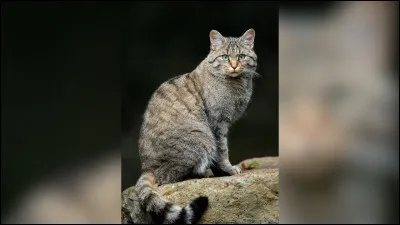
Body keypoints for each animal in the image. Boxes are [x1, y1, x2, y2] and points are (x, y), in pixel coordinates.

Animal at [135, 29, 260, 224]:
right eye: (225, 57)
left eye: (241, 56)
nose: (233, 66)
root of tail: (147, 168)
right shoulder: (218, 124)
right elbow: (222, 151)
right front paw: (228, 169)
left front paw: (220, 172)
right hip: (202, 139)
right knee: (170, 178)